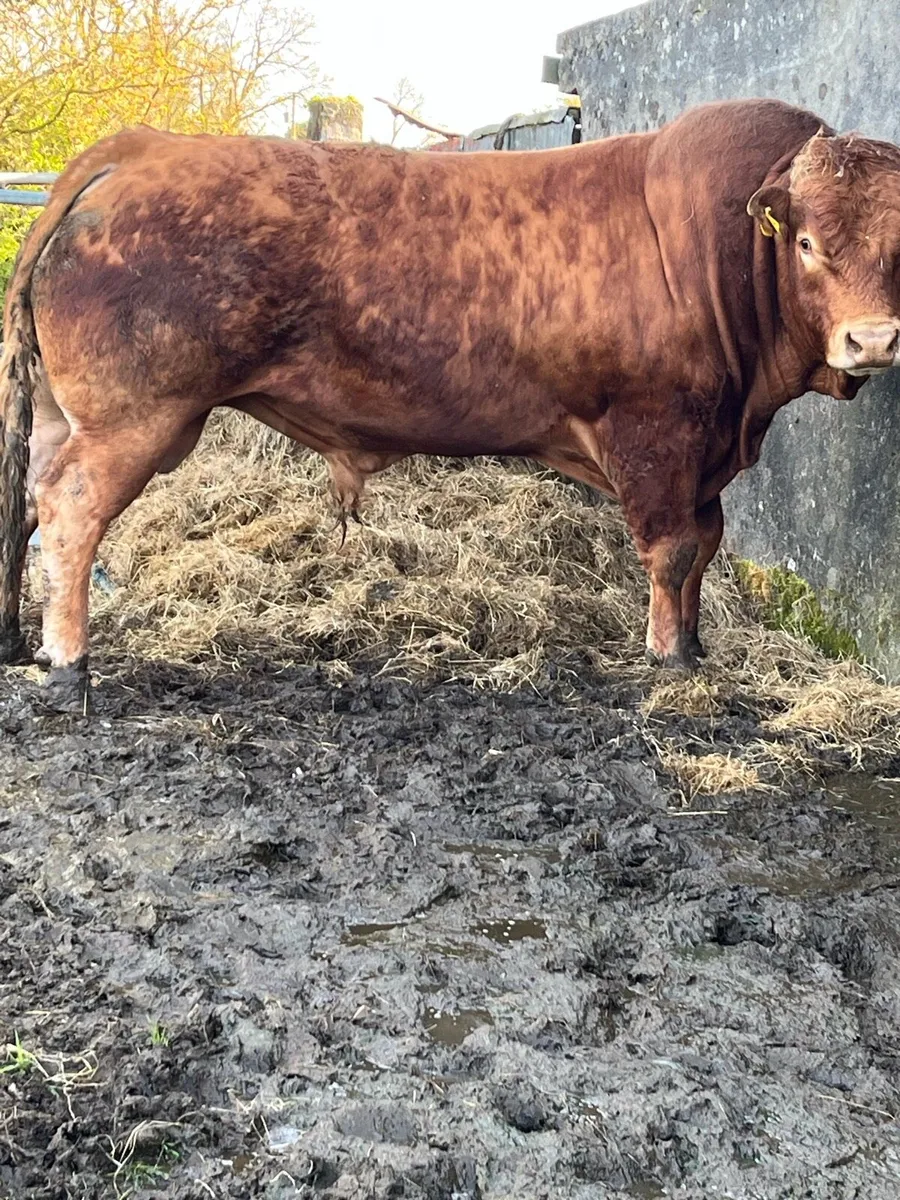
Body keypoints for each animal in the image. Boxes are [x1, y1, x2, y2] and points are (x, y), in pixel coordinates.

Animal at [1, 98, 900, 711]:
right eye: (808, 242)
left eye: (899, 248)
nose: (875, 340)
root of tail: (139, 148)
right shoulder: (657, 433)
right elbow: (676, 550)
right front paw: (670, 658)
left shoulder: (705, 452)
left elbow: (707, 544)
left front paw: (698, 642)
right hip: (133, 419)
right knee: (72, 511)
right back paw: (69, 666)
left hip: (62, 415)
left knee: (30, 503)